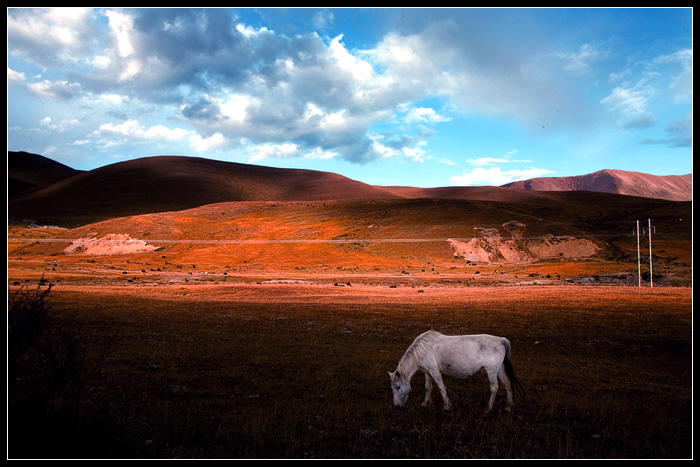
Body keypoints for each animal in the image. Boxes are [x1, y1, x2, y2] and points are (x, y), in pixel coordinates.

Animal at [388, 330, 524, 414]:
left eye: (398, 387)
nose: (396, 406)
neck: (422, 349)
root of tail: (501, 340)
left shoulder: (434, 371)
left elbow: (441, 387)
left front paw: (447, 406)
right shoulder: (427, 372)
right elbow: (427, 387)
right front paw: (425, 403)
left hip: (491, 371)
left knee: (494, 388)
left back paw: (488, 409)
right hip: (499, 369)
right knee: (507, 383)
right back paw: (509, 406)